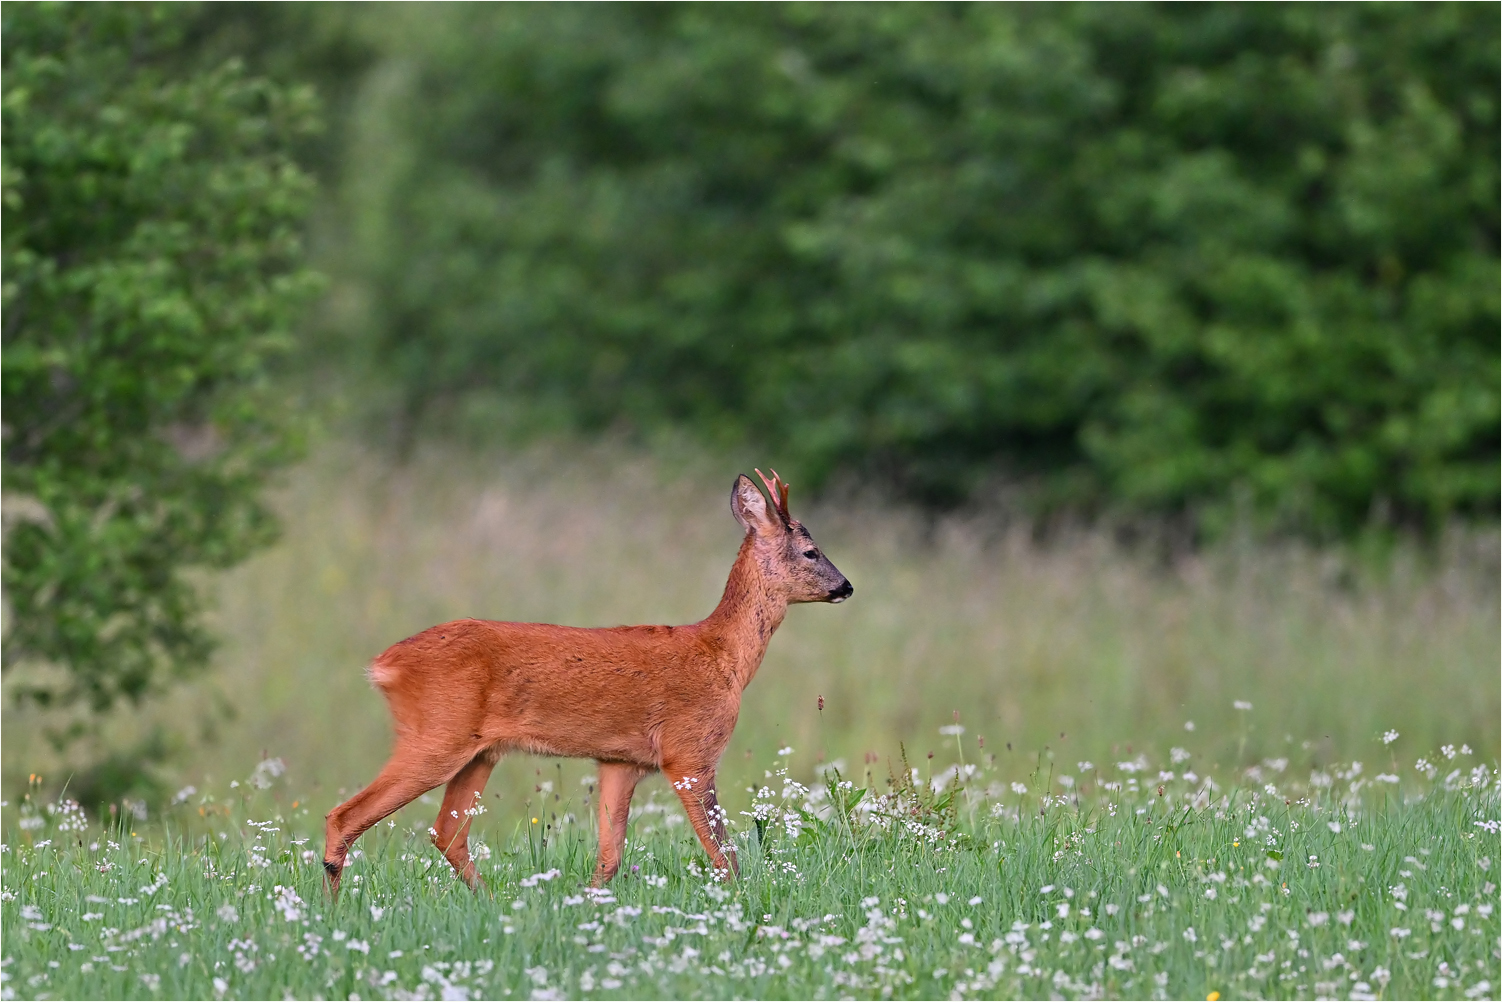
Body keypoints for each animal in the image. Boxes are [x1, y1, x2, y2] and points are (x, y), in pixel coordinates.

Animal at [322, 471, 853, 895]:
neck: (723, 657)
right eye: (811, 551)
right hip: (436, 735)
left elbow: (610, 855)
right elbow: (724, 853)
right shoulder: (690, 751)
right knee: (346, 815)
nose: (846, 586)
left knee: (447, 832)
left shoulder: (620, 761)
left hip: (479, 752)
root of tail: (384, 664)